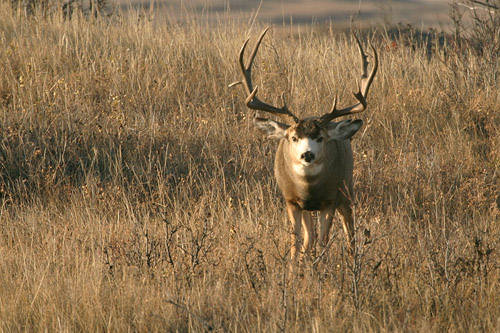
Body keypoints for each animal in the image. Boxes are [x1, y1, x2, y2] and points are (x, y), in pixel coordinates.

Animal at [231, 27, 378, 262]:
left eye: (321, 138)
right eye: (293, 137)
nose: (307, 155)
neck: (309, 189)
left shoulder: (330, 199)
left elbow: (324, 241)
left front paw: (322, 266)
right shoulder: (291, 201)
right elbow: (296, 242)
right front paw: (294, 268)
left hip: (347, 188)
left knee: (349, 231)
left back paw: (352, 260)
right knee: (309, 239)